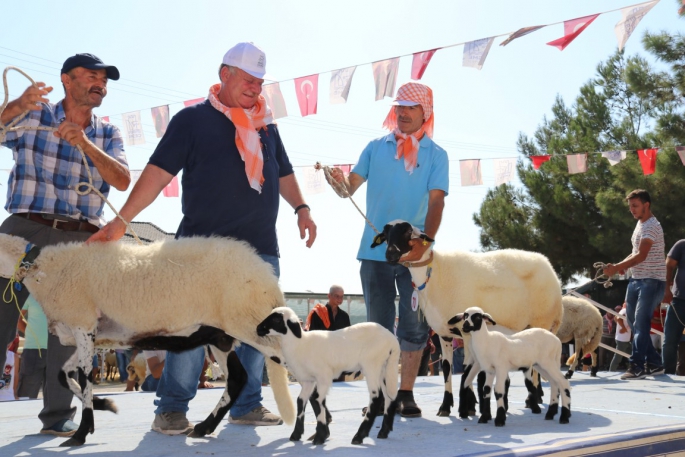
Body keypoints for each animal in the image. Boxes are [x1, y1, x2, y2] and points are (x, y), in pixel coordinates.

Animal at [0, 233, 292, 448]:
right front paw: (104, 406)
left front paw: (81, 434)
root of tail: (266, 273)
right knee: (237, 378)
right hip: (220, 336)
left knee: (287, 362)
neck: (44, 270)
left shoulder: (83, 324)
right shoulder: (88, 335)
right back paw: (203, 428)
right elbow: (65, 375)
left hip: (248, 323)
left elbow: (83, 379)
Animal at [256, 304, 398, 444]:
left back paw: (359, 436)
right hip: (383, 369)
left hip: (371, 365)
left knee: (376, 397)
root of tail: (392, 339)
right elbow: (301, 401)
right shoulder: (308, 381)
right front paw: (297, 434)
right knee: (389, 397)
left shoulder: (323, 376)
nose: (258, 329)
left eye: (277, 319)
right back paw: (383, 432)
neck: (300, 344)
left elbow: (318, 400)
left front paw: (320, 436)